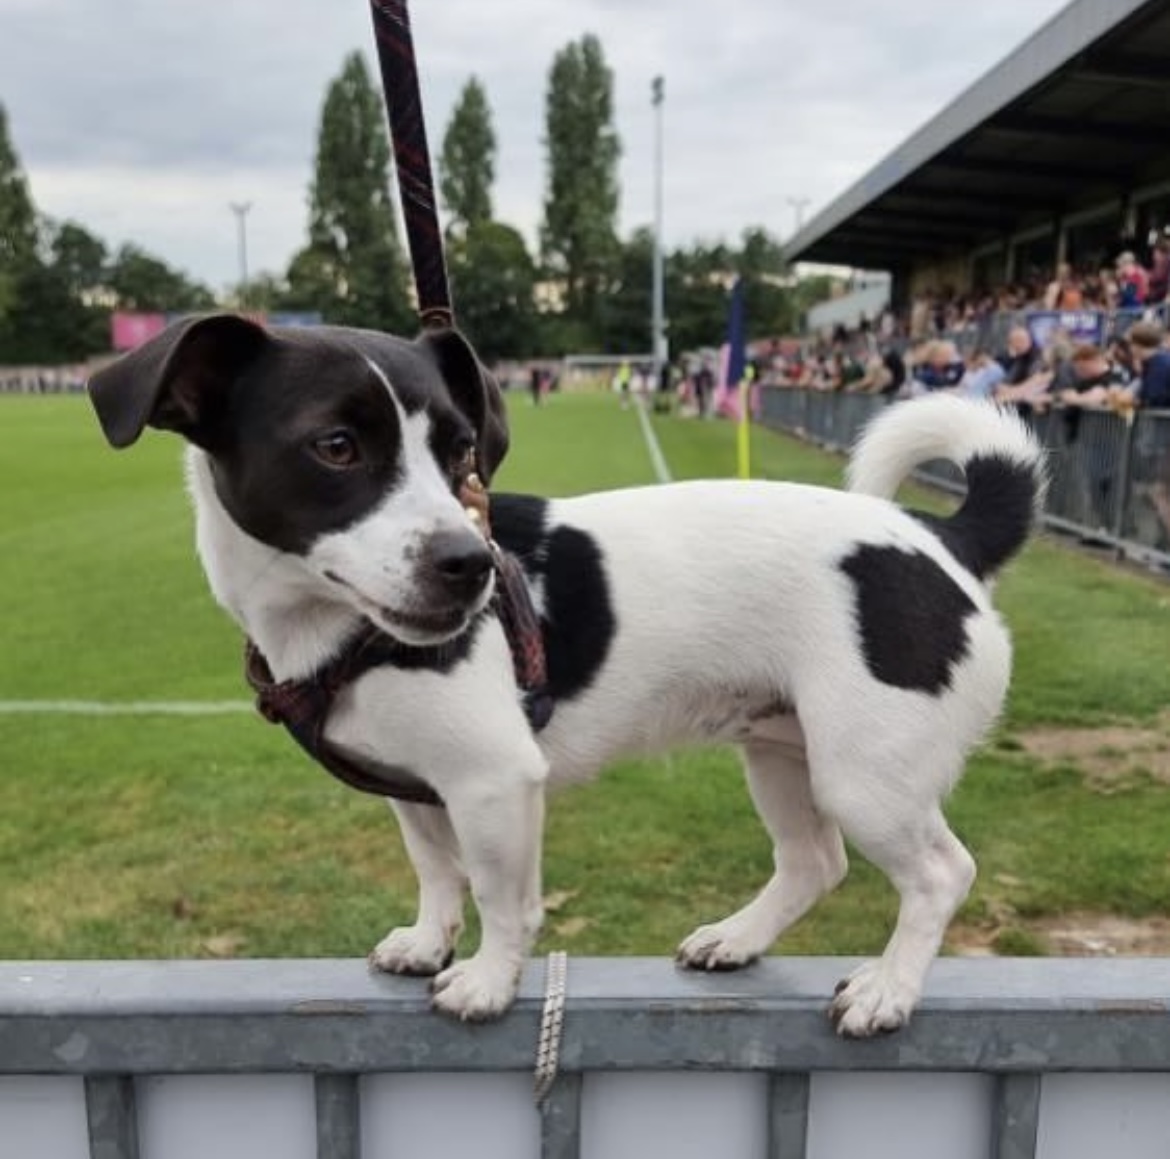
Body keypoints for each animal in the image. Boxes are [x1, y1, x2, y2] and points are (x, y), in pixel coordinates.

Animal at [88, 313, 1043, 1038]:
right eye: (335, 446)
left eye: (461, 451)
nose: (470, 565)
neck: (334, 632)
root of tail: (944, 538)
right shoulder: (418, 788)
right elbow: (438, 872)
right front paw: (430, 941)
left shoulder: (496, 781)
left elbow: (503, 895)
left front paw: (487, 980)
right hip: (784, 752)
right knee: (814, 861)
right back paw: (737, 938)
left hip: (864, 774)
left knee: (940, 872)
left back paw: (888, 989)